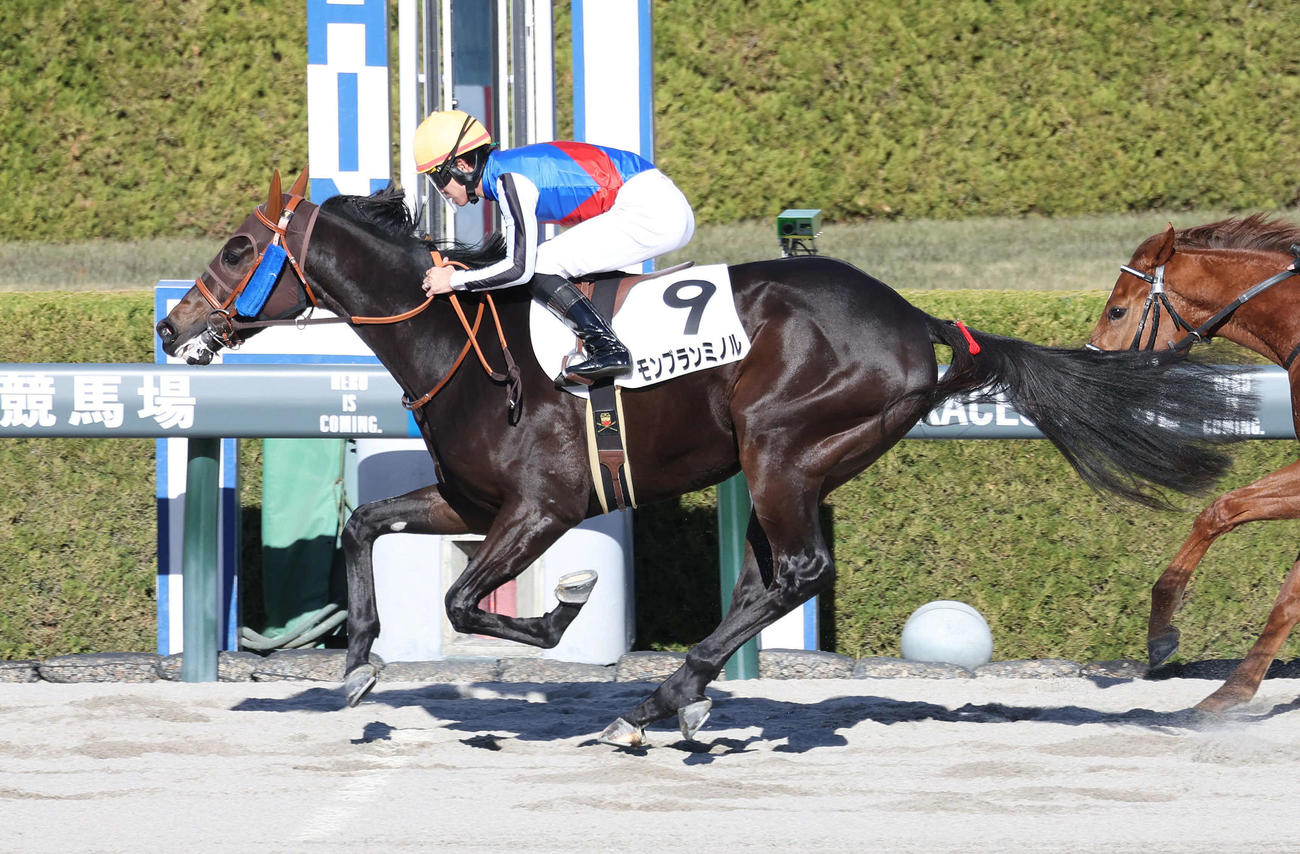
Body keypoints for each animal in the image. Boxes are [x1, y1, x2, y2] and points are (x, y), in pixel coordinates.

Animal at [159, 169, 1248, 747]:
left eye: (236, 248)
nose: (171, 328)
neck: (459, 345)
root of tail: (917, 322)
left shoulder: (542, 506)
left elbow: (470, 602)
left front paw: (566, 607)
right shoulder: (472, 497)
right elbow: (365, 526)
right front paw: (355, 667)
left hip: (782, 445)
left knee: (795, 569)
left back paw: (666, 695)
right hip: (792, 463)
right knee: (767, 578)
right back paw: (666, 700)